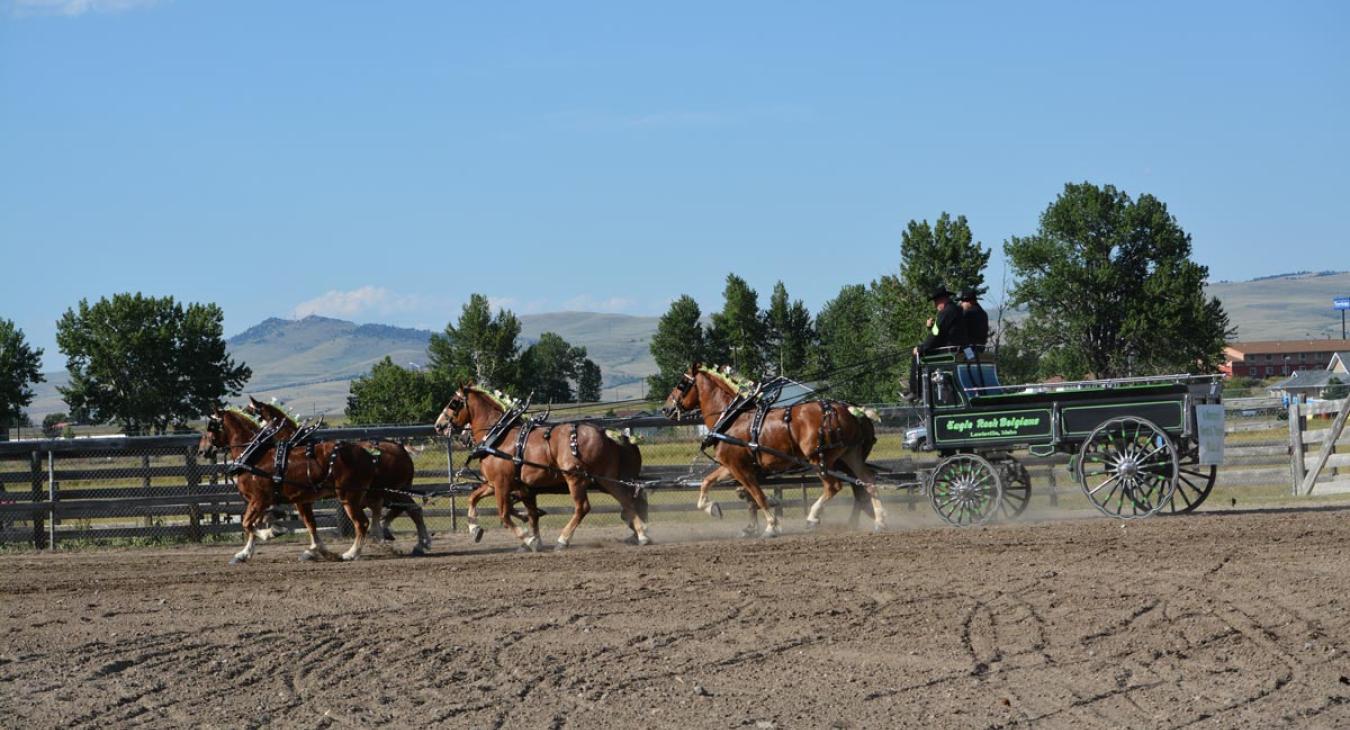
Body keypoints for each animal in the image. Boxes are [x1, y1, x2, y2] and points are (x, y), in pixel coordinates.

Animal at [197, 408, 380, 563]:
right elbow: (308, 525)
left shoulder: (259, 500)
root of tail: (367, 455)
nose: (201, 450)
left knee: (362, 523)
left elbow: (248, 524)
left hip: (348, 497)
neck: (254, 455)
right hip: (359, 495)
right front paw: (244, 554)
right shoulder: (292, 501)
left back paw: (351, 553)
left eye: (210, 428)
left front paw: (273, 532)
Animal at [243, 397, 433, 555]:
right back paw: (414, 541)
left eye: (252, 414)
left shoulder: (298, 495)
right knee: (411, 509)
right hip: (394, 490)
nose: (250, 445)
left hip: (392, 490)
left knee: (408, 509)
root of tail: (401, 448)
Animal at [432, 385, 650, 551]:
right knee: (627, 500)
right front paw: (475, 530)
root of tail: (605, 433)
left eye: (453, 402)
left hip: (576, 478)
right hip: (605, 478)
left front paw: (527, 539)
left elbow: (505, 514)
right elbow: (476, 498)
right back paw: (642, 535)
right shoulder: (501, 484)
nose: (438, 425)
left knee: (583, 508)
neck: (499, 436)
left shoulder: (502, 484)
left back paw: (563, 540)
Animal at [662, 363, 887, 537]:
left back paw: (813, 518)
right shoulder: (731, 465)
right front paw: (712, 508)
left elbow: (758, 496)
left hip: (819, 460)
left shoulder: (741, 469)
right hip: (850, 454)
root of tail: (850, 410)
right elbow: (707, 482)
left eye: (681, 384)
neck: (732, 418)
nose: (666, 409)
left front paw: (771, 526)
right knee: (868, 481)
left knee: (834, 486)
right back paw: (879, 522)